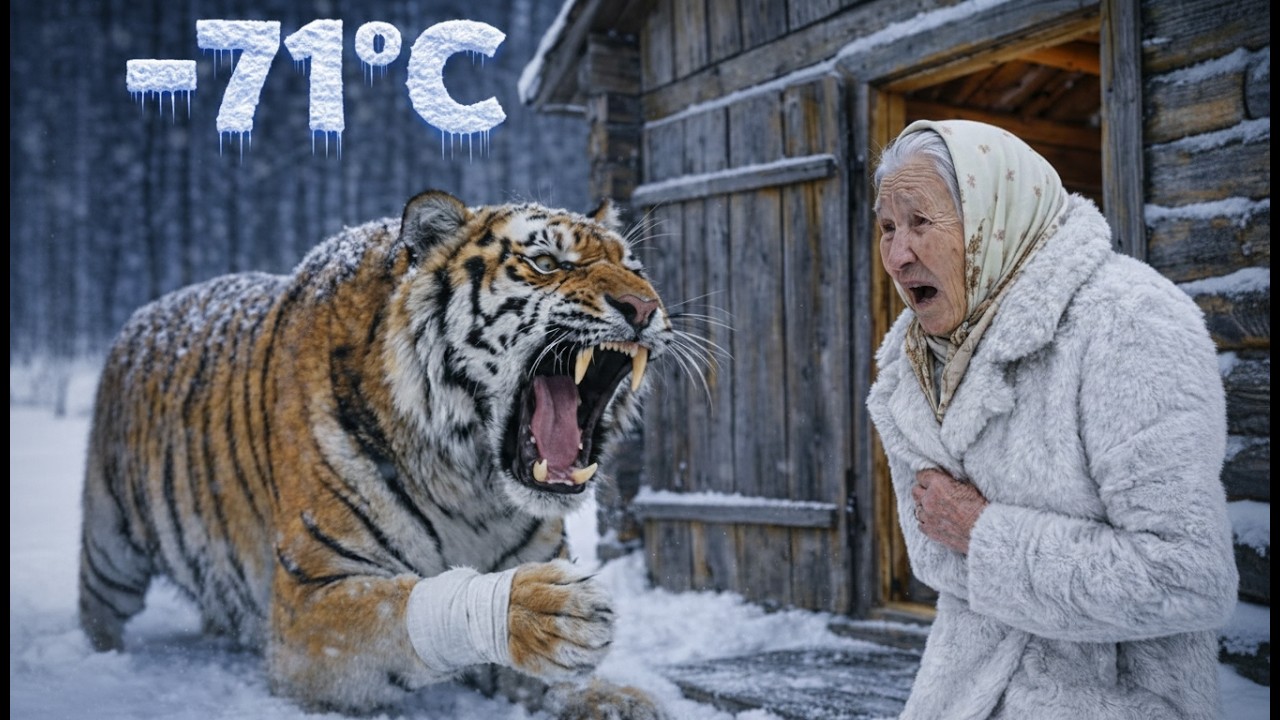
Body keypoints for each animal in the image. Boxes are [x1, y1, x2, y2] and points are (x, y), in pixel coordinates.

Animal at [78, 190, 672, 717]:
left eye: (636, 270)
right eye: (546, 262)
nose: (644, 305)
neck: (473, 490)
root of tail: (141, 317)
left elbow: (548, 681)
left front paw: (613, 697)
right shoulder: (308, 603)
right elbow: (401, 606)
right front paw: (540, 608)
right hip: (110, 546)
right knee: (100, 609)